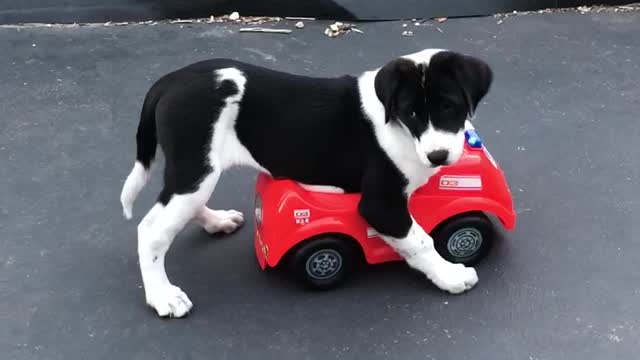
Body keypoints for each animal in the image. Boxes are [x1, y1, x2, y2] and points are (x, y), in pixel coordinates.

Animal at [120, 48, 492, 318]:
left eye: (450, 106)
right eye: (411, 112)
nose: (437, 156)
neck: (399, 128)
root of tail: (169, 81)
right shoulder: (381, 204)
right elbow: (420, 240)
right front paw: (450, 275)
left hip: (196, 174)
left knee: (180, 206)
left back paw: (217, 220)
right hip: (196, 167)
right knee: (152, 231)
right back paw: (162, 296)